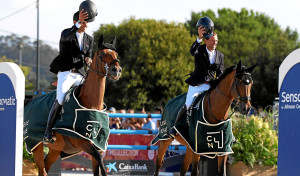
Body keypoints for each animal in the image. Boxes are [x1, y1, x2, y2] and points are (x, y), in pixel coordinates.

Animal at [24, 34, 121, 176]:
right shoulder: (83, 143)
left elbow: (98, 166)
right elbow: (100, 162)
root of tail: (30, 103)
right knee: (42, 170)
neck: (92, 105)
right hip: (36, 145)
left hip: (55, 150)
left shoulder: (98, 145)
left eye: (116, 54)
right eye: (102, 54)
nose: (116, 71)